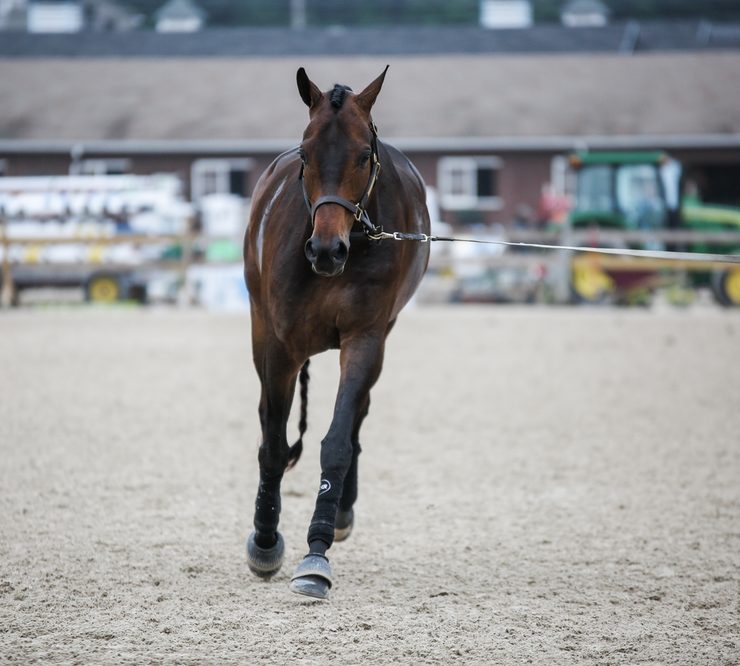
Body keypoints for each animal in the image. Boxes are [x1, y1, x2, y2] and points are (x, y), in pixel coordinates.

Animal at [243, 66, 430, 599]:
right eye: (305, 153)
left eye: (363, 154)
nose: (326, 250)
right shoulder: (279, 345)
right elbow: (274, 443)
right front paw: (266, 540)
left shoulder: (366, 338)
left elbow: (338, 441)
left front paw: (317, 552)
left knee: (358, 416)